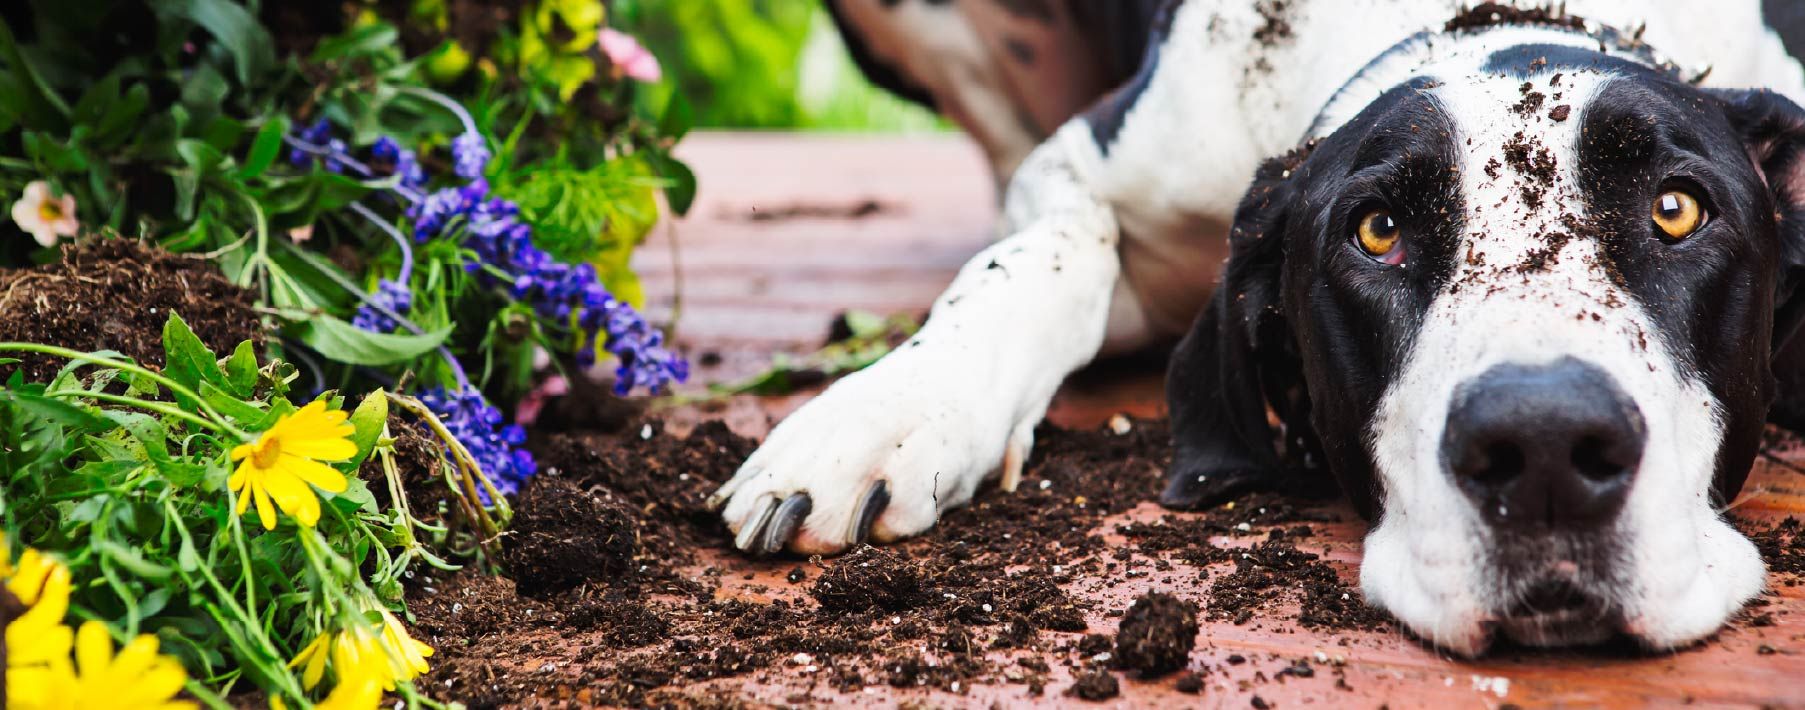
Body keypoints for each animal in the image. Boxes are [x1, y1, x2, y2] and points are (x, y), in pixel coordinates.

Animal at [703, 0, 1805, 653]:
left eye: (1675, 209)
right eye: (1377, 230)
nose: (1542, 449)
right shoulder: (1080, 168)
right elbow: (1041, 259)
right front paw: (886, 411)